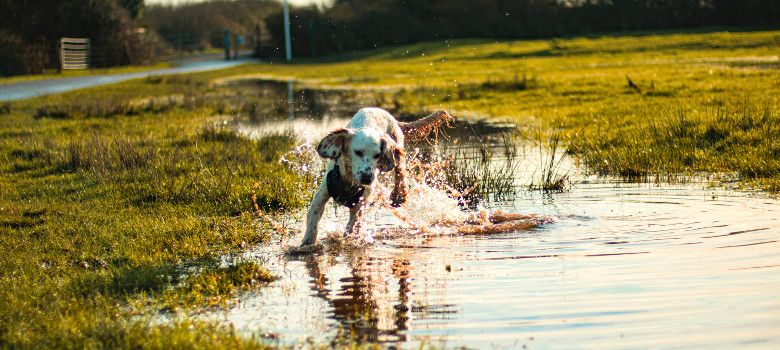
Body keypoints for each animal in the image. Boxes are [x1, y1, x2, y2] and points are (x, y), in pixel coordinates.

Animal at [302, 106, 454, 246]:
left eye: (377, 155)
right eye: (358, 152)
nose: (367, 178)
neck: (349, 180)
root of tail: (389, 116)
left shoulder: (360, 203)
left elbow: (352, 226)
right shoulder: (323, 193)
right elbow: (314, 216)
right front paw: (307, 243)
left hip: (397, 146)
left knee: (400, 171)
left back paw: (398, 195)